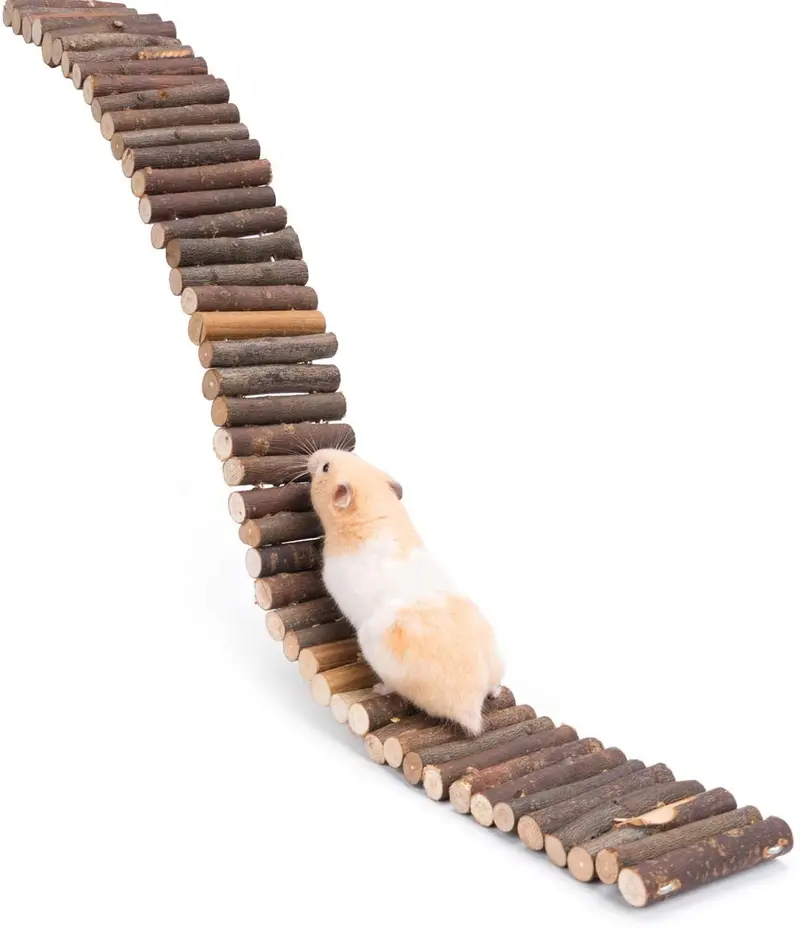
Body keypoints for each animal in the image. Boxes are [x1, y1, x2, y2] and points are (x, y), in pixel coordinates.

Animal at [308, 449, 504, 735]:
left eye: (325, 467)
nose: (313, 456)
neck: (375, 504)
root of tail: (472, 706)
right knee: (494, 687)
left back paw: (378, 688)